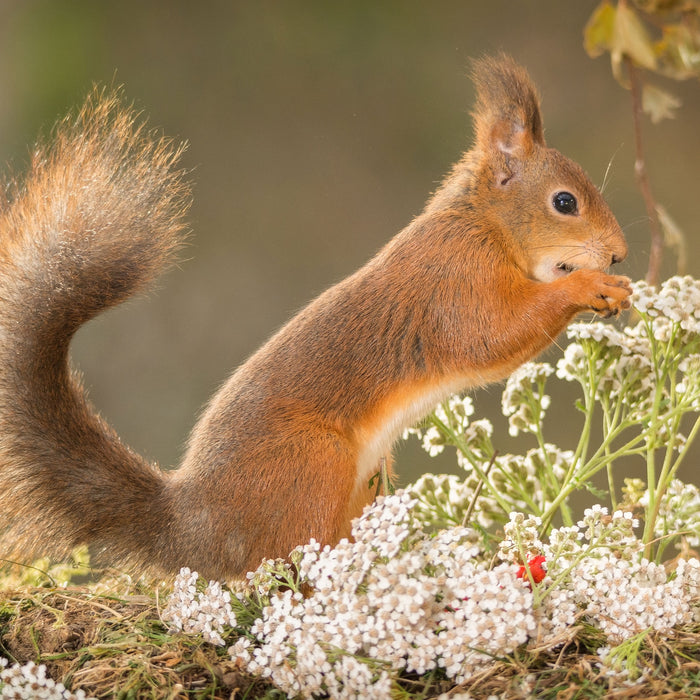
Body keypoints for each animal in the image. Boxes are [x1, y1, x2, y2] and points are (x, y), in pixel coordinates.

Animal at [0, 56, 632, 580]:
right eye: (565, 202)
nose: (621, 255)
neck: (483, 224)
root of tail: (195, 527)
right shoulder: (455, 281)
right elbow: (492, 337)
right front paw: (588, 287)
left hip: (365, 481)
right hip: (311, 467)